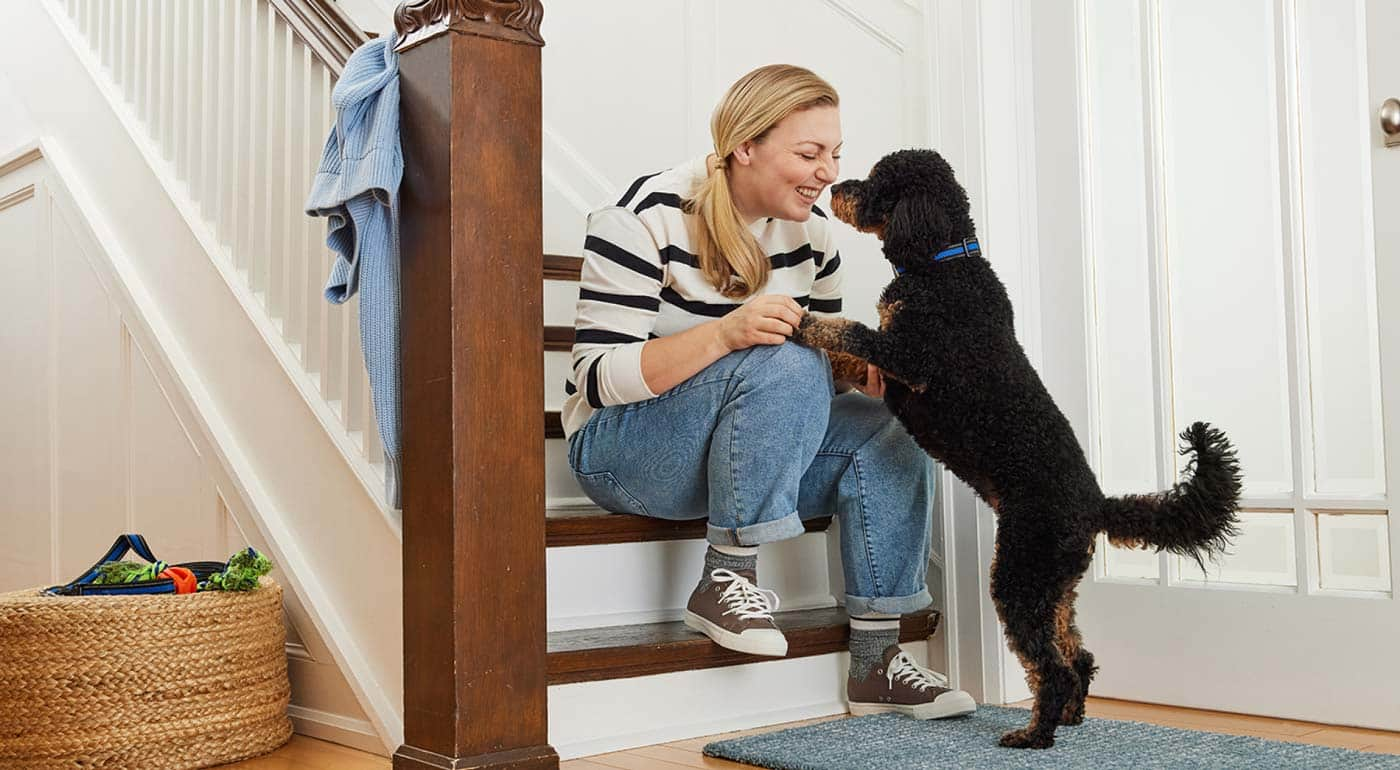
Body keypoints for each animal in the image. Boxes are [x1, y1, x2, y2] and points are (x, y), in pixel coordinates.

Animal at [795, 147, 1243, 750]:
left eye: (878, 183)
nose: (837, 187)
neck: (945, 264)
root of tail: (1095, 504)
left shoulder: (910, 356)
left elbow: (848, 330)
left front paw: (804, 323)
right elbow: (851, 347)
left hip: (1021, 572)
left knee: (1051, 667)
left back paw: (1034, 733)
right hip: (1055, 586)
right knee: (1078, 655)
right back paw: (1070, 716)